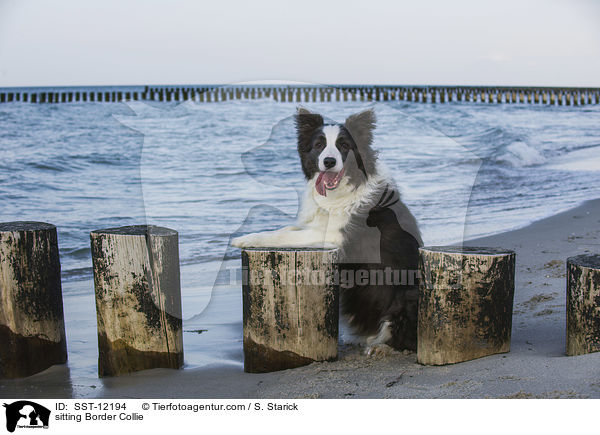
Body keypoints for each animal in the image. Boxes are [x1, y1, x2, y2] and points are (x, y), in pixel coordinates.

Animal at [231, 108, 422, 354]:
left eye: (344, 145)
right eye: (319, 145)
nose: (329, 161)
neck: (340, 193)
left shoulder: (333, 237)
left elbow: (283, 234)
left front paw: (245, 239)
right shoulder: (312, 225)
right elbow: (286, 228)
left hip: (409, 295)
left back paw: (380, 347)